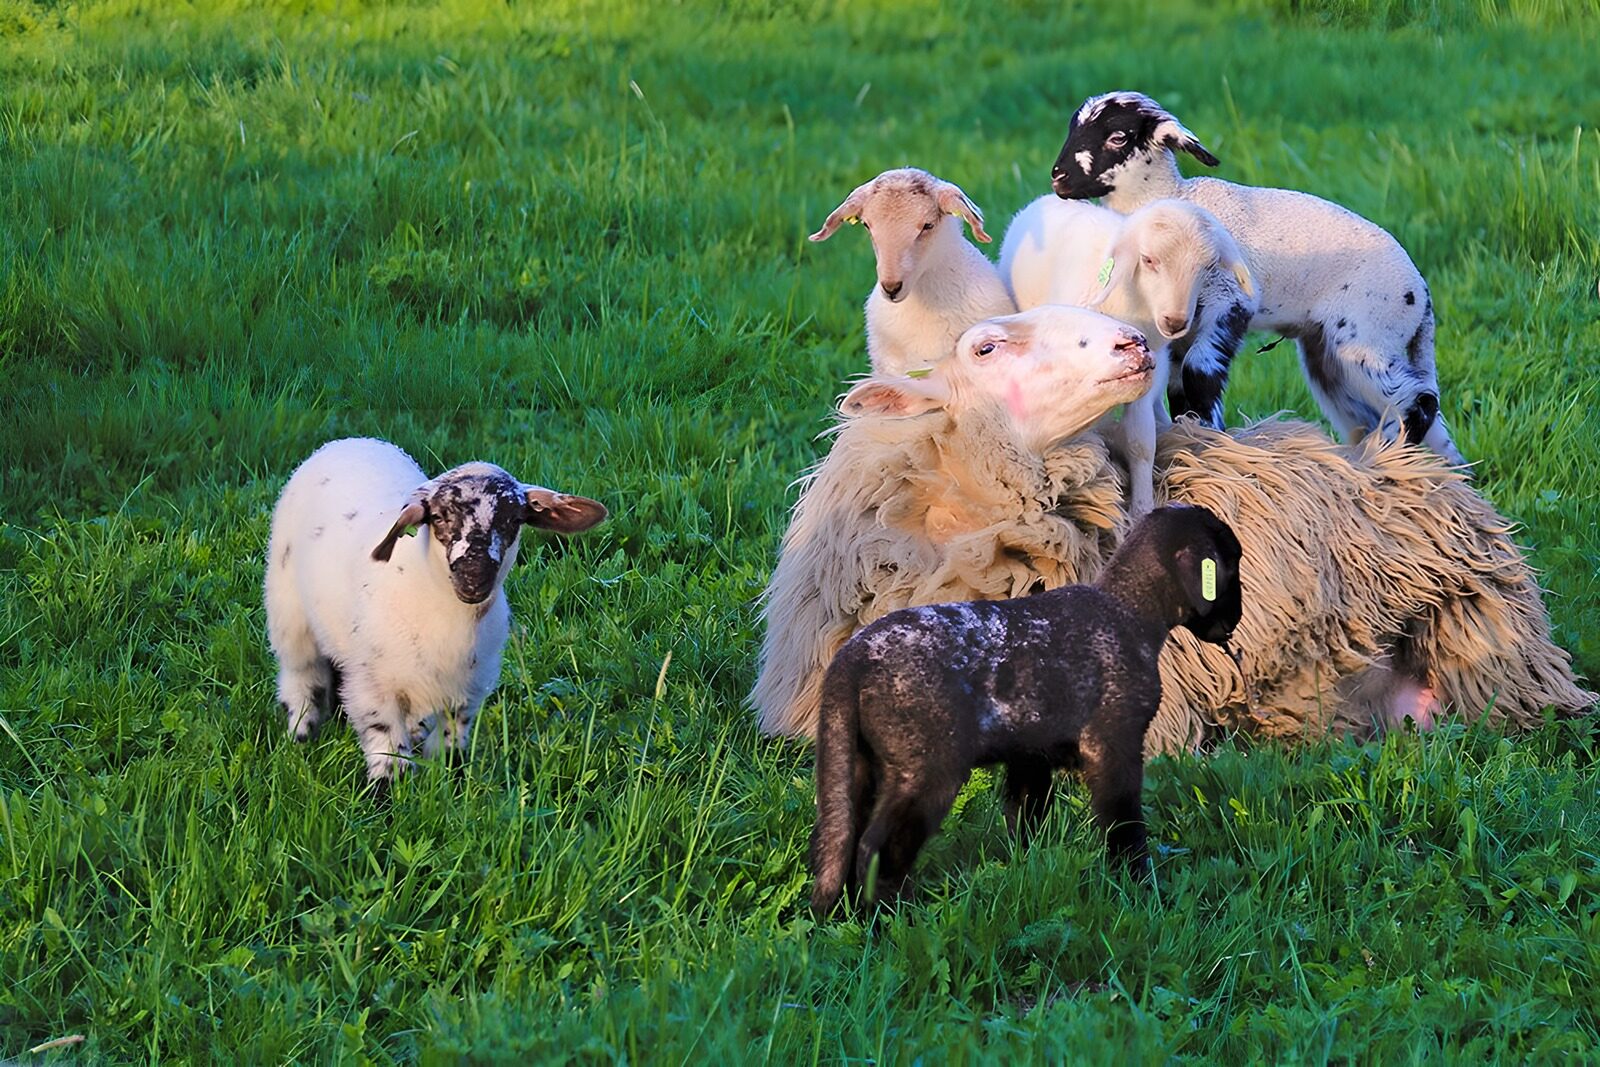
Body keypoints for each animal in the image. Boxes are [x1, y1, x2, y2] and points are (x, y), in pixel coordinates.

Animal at [264, 437, 608, 787]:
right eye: (439, 517)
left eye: (514, 520)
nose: (474, 578)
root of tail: (349, 442)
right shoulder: (371, 685)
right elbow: (389, 750)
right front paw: (388, 791)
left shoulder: (469, 688)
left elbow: (449, 742)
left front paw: (447, 780)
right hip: (288, 611)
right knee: (302, 677)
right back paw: (301, 735)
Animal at [809, 505, 1244, 914]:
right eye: (1231, 565)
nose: (1237, 619)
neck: (1131, 613)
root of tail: (852, 660)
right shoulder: (1114, 744)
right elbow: (1124, 824)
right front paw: (1138, 886)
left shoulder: (1031, 753)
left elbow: (1027, 817)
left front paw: (1033, 866)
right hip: (925, 767)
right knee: (877, 847)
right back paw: (896, 915)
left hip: (858, 762)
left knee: (841, 838)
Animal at [999, 195, 1257, 514]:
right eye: (1148, 260)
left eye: (1209, 266)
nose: (1175, 322)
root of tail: (1045, 199)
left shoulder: (1145, 373)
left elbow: (1141, 442)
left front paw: (1142, 508)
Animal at [1049, 90, 1464, 465]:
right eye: (1072, 128)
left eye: (1118, 137)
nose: (1058, 178)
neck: (1173, 198)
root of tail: (1422, 296)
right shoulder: (1182, 325)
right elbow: (1179, 389)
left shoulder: (1230, 300)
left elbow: (1200, 373)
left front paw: (1213, 443)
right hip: (1328, 351)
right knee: (1380, 414)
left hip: (1365, 334)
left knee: (1419, 401)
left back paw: (1390, 455)